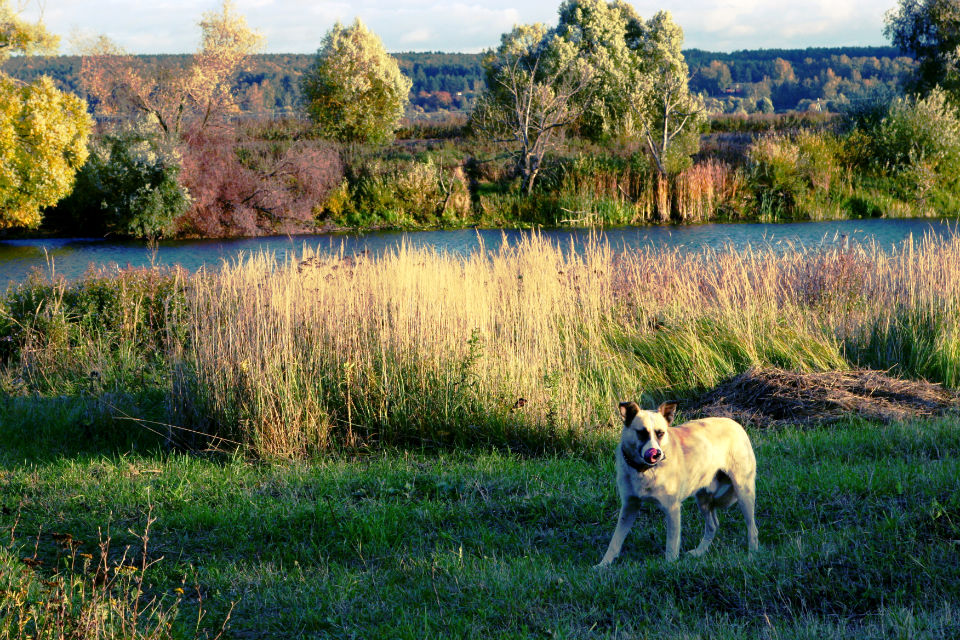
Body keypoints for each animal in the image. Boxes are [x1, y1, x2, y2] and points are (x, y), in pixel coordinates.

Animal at [592, 400, 756, 564]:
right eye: (642, 433)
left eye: (660, 433)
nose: (656, 454)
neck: (645, 471)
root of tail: (735, 423)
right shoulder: (629, 506)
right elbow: (615, 540)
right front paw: (604, 564)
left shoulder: (672, 508)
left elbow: (671, 545)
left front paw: (670, 566)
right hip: (703, 499)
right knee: (712, 526)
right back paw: (699, 552)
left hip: (744, 494)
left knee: (752, 528)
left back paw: (752, 555)